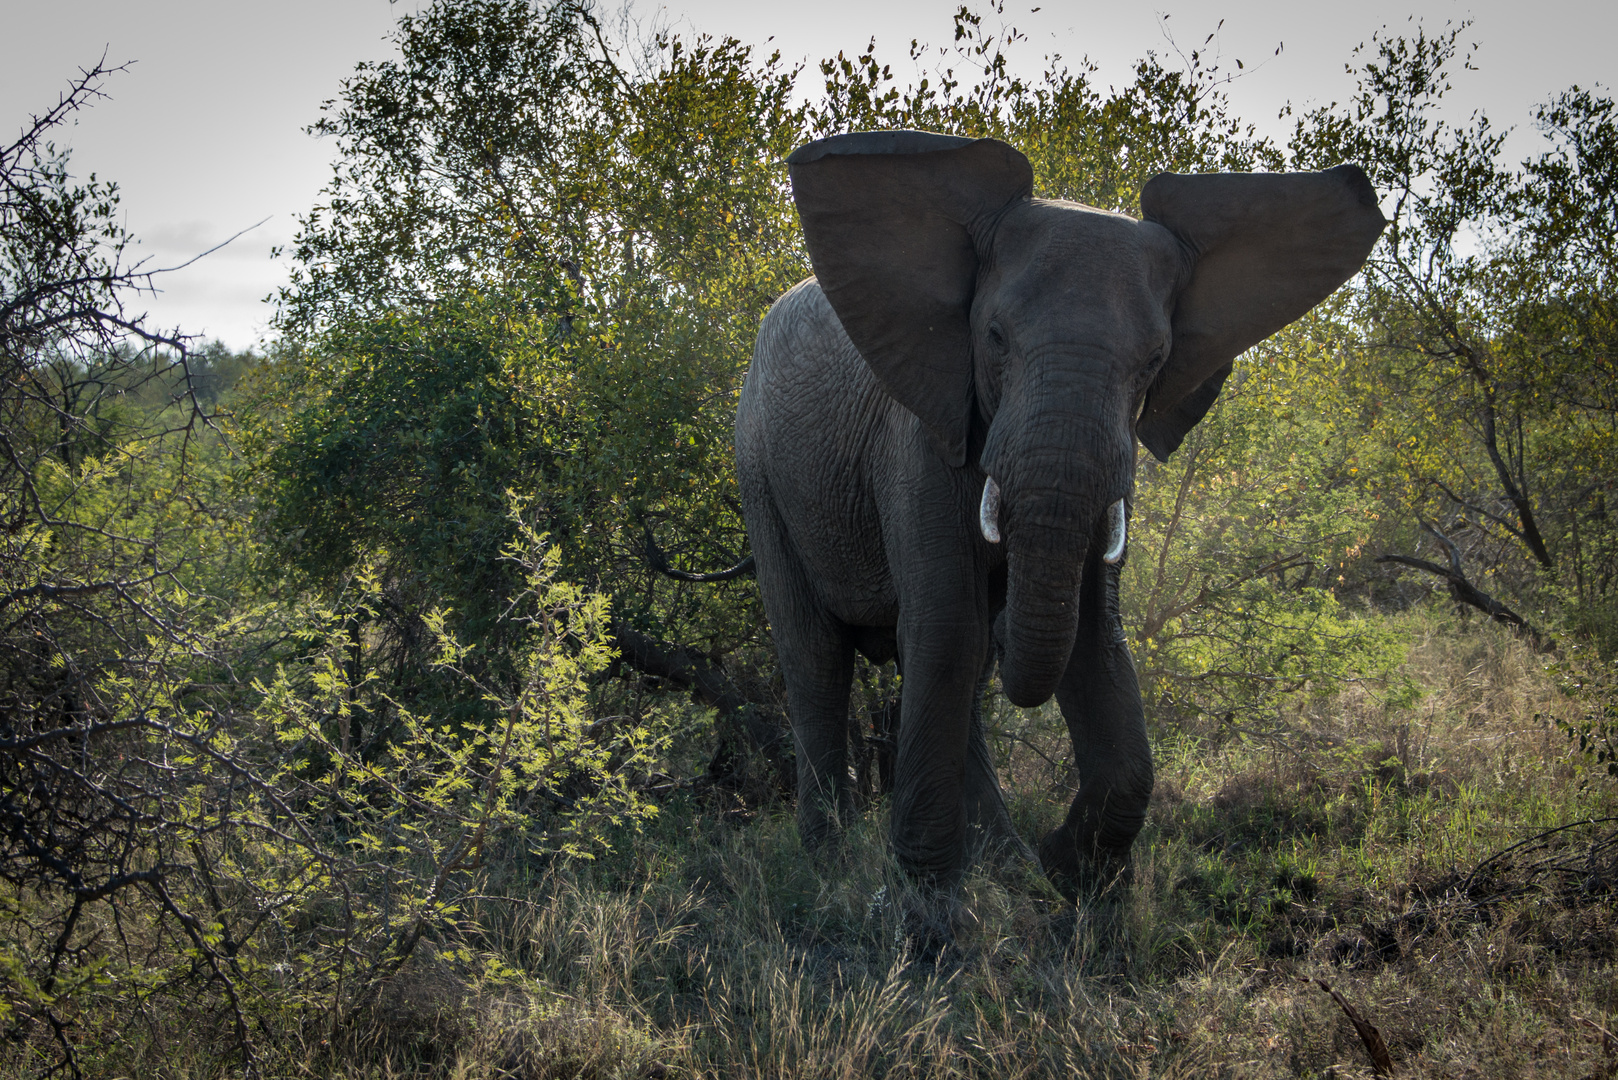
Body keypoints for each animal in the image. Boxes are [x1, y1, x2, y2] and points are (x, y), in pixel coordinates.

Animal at [734, 131, 1378, 906]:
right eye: (994, 337)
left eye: (1156, 359)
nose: (1011, 604)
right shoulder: (919, 435)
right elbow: (948, 626)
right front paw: (930, 904)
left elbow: (1094, 636)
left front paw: (1068, 871)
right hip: (760, 474)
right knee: (819, 657)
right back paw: (826, 865)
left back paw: (1007, 860)